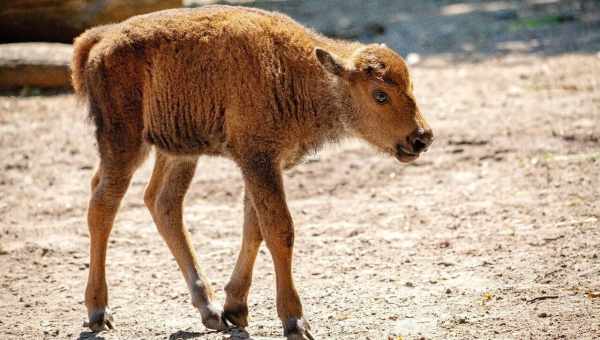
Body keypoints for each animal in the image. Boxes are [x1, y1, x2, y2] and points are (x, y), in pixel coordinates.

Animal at [72, 4, 434, 338]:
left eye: (411, 86)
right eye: (380, 95)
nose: (421, 138)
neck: (300, 70)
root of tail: (102, 38)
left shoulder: (262, 166)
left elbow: (254, 228)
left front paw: (234, 309)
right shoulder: (259, 161)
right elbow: (280, 231)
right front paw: (295, 321)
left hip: (178, 152)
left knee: (162, 202)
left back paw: (209, 310)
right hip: (124, 142)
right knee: (103, 205)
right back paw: (98, 312)